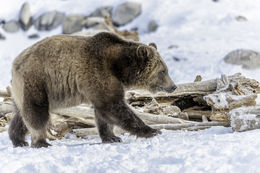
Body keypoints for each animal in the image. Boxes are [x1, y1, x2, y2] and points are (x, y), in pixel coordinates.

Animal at [8, 32, 177, 147]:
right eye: (163, 71)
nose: (173, 86)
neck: (119, 68)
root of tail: (16, 62)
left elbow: (103, 113)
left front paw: (112, 137)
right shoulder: (98, 72)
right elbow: (112, 106)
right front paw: (152, 130)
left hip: (24, 89)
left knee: (21, 115)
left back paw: (18, 139)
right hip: (37, 80)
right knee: (36, 111)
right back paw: (41, 141)